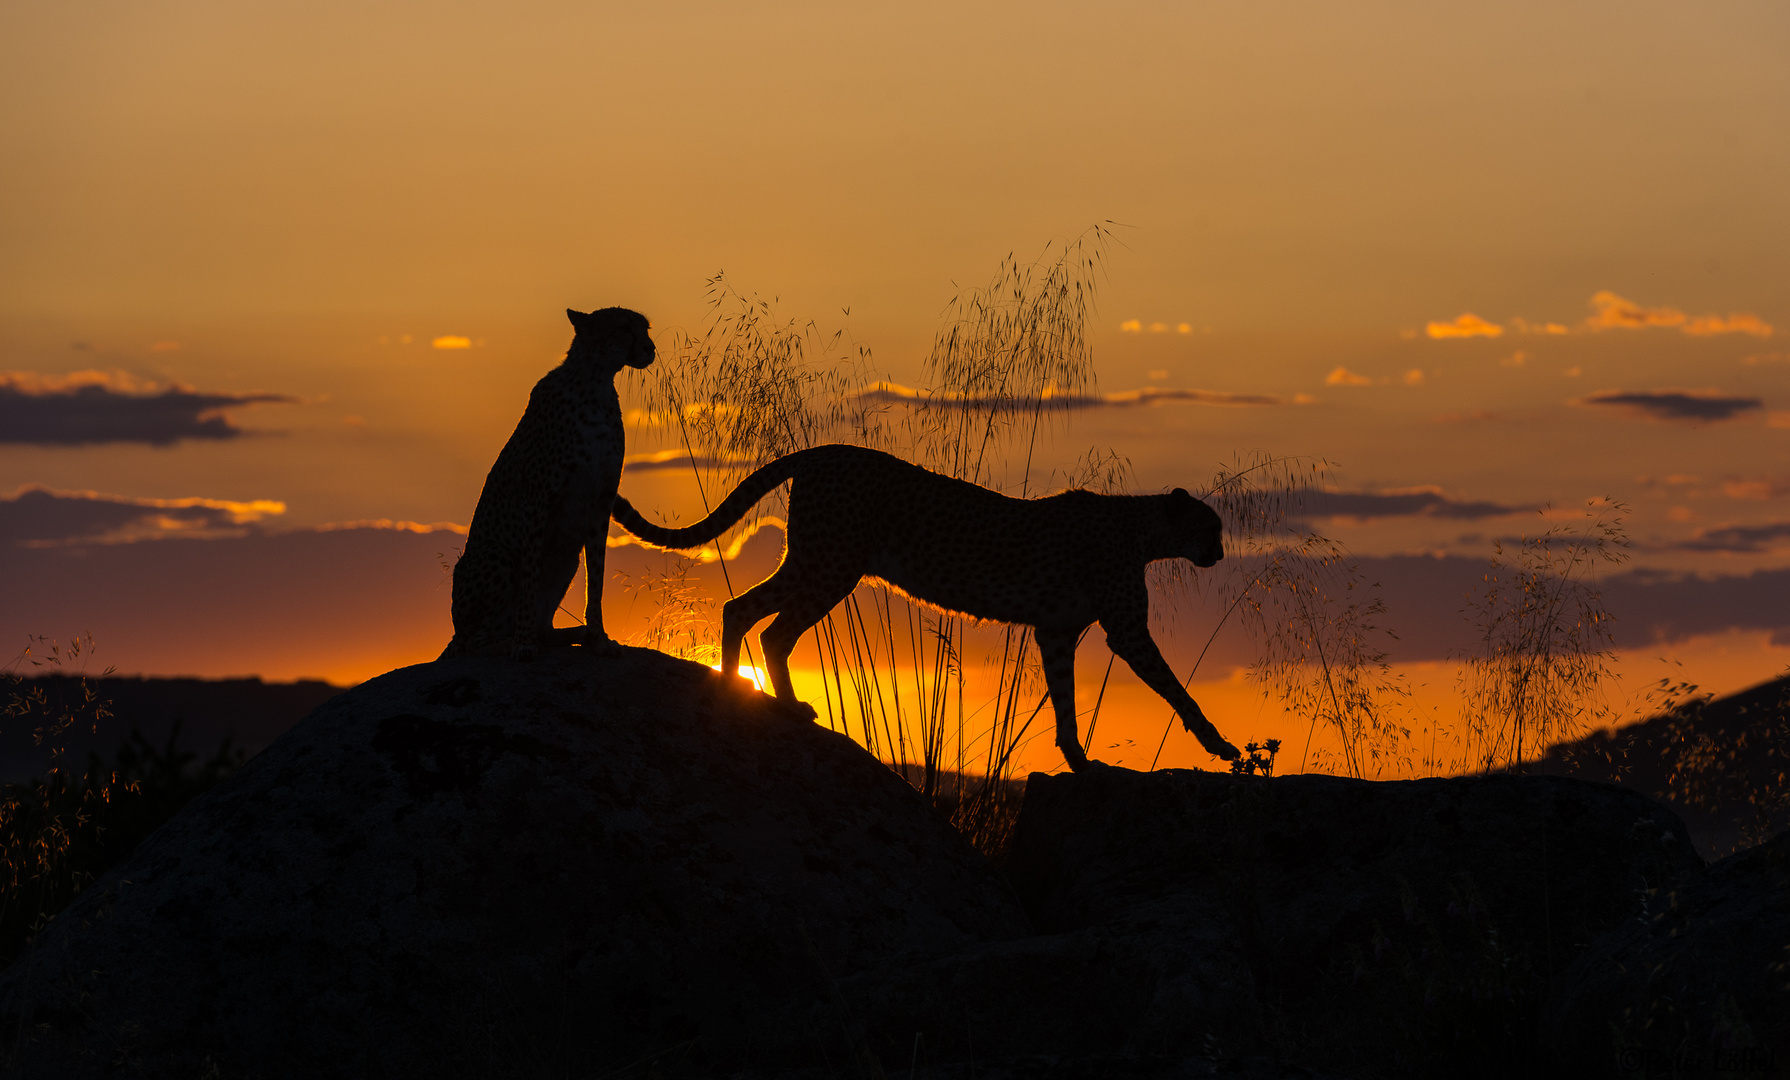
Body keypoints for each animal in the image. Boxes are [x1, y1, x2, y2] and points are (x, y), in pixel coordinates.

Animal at [442, 304, 658, 659]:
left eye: (646, 328)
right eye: (625, 328)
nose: (651, 348)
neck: (595, 383)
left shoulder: (600, 502)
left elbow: (596, 579)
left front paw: (599, 638)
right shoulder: (538, 500)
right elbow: (530, 578)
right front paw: (524, 644)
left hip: (567, 558)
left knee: (536, 628)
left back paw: (572, 634)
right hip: (495, 555)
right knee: (474, 642)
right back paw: (512, 641)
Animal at [608, 444, 1238, 773]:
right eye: (1210, 527)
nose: (1220, 555)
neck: (1144, 530)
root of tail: (825, 449)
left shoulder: (1056, 632)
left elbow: (1064, 700)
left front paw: (1079, 762)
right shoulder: (1125, 630)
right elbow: (1176, 688)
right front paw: (1220, 745)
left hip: (818, 560)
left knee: (747, 613)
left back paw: (749, 691)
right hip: (831, 564)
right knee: (769, 627)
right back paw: (772, 700)